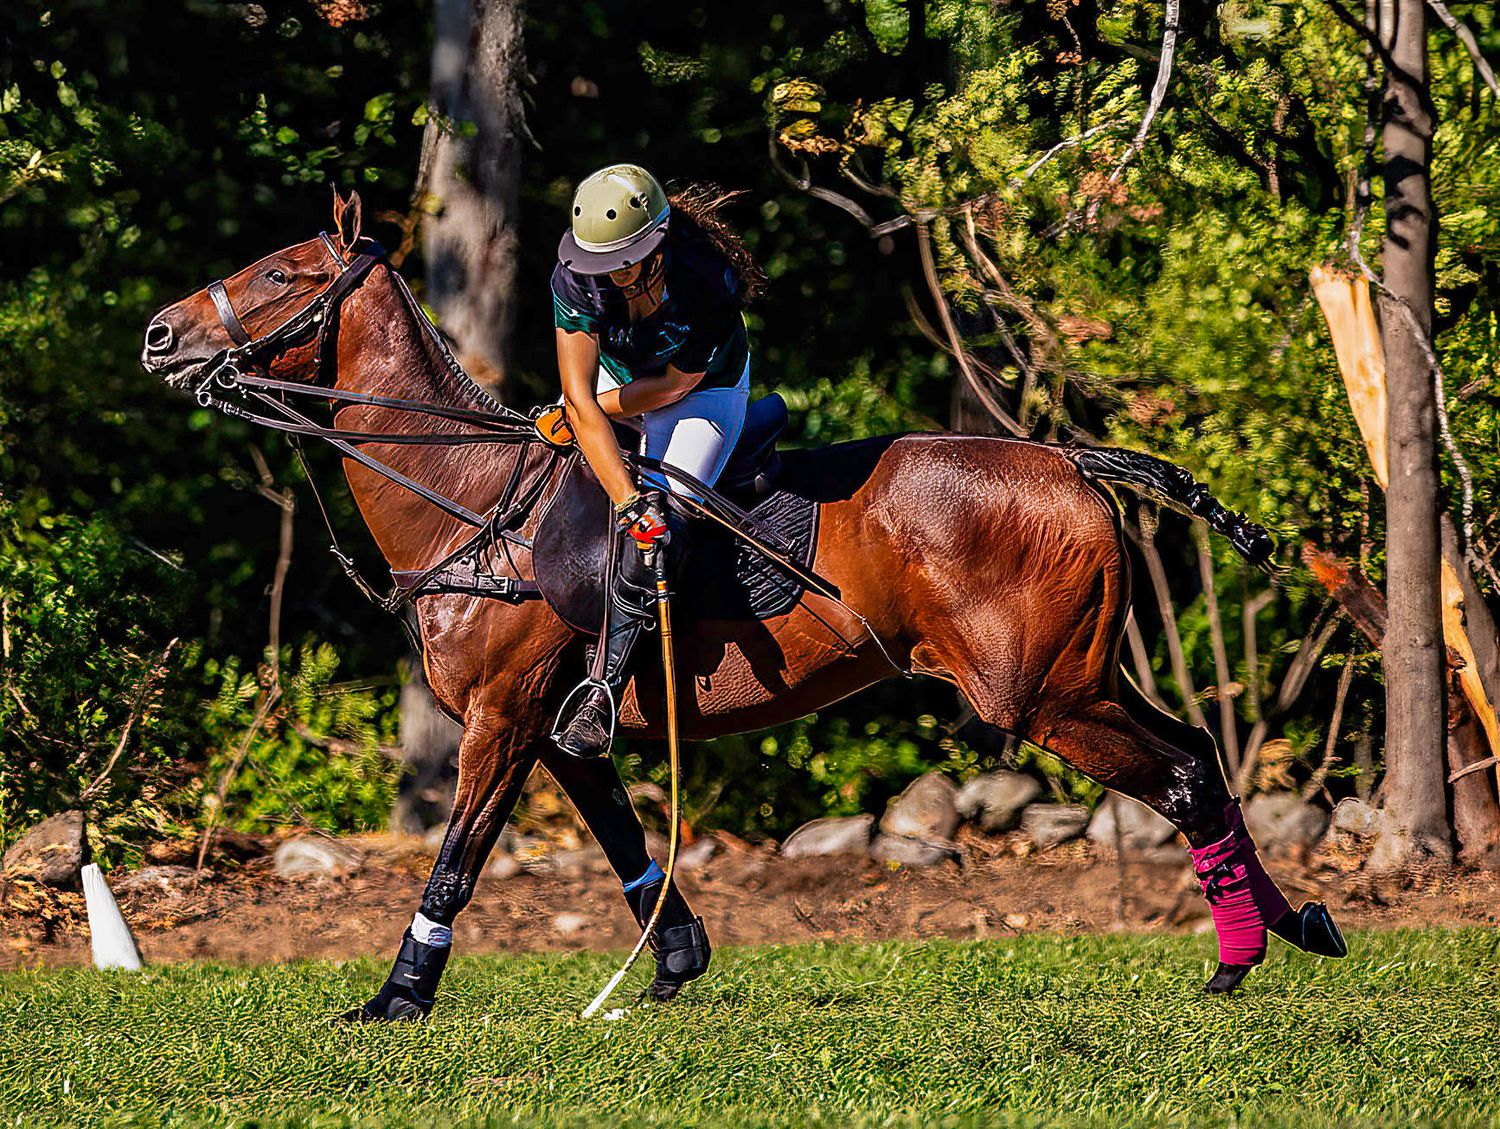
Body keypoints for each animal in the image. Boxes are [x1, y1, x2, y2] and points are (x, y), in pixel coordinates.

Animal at [140, 192, 1346, 1021]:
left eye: (281, 272)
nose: (158, 334)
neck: (472, 501)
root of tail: (1072, 458)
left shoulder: (500, 719)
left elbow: (459, 858)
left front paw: (397, 997)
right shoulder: (560, 731)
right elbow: (629, 840)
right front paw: (674, 963)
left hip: (1037, 695)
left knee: (1183, 775)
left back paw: (1239, 958)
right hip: (1085, 673)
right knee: (1200, 753)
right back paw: (1299, 923)